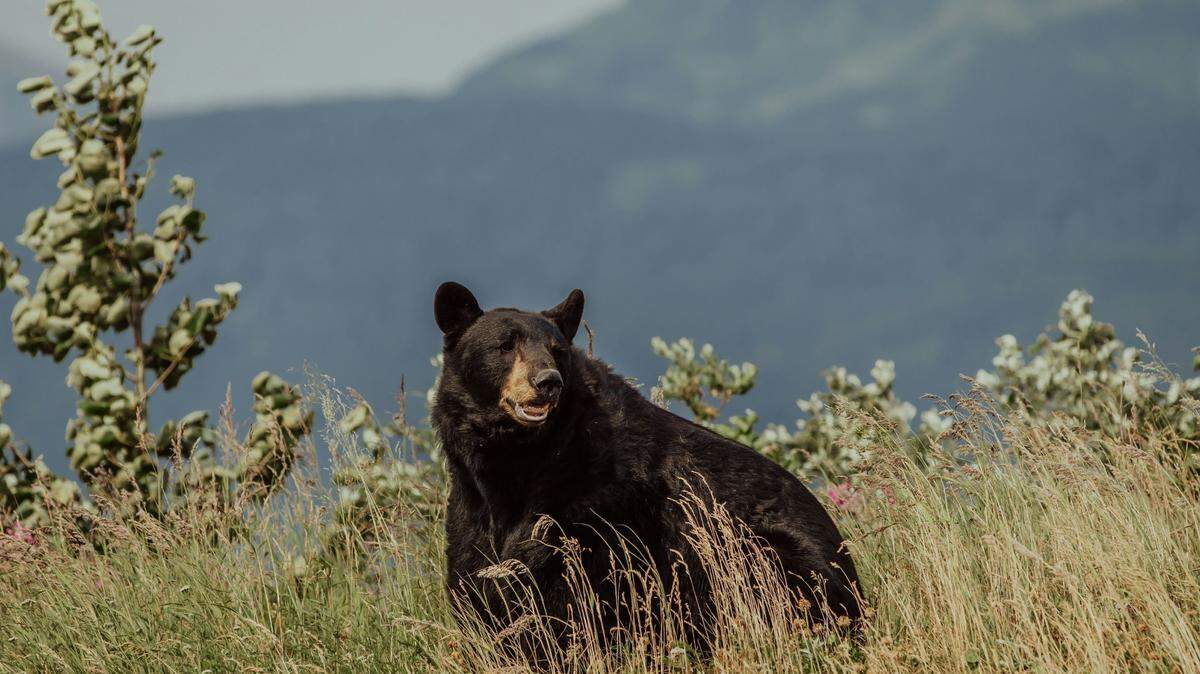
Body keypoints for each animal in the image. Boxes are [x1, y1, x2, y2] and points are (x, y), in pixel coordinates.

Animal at [431, 281, 862, 657]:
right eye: (505, 346)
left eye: (557, 352)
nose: (547, 381)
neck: (519, 460)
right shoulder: (471, 504)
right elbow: (477, 578)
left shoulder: (599, 506)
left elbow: (577, 589)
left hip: (761, 553)